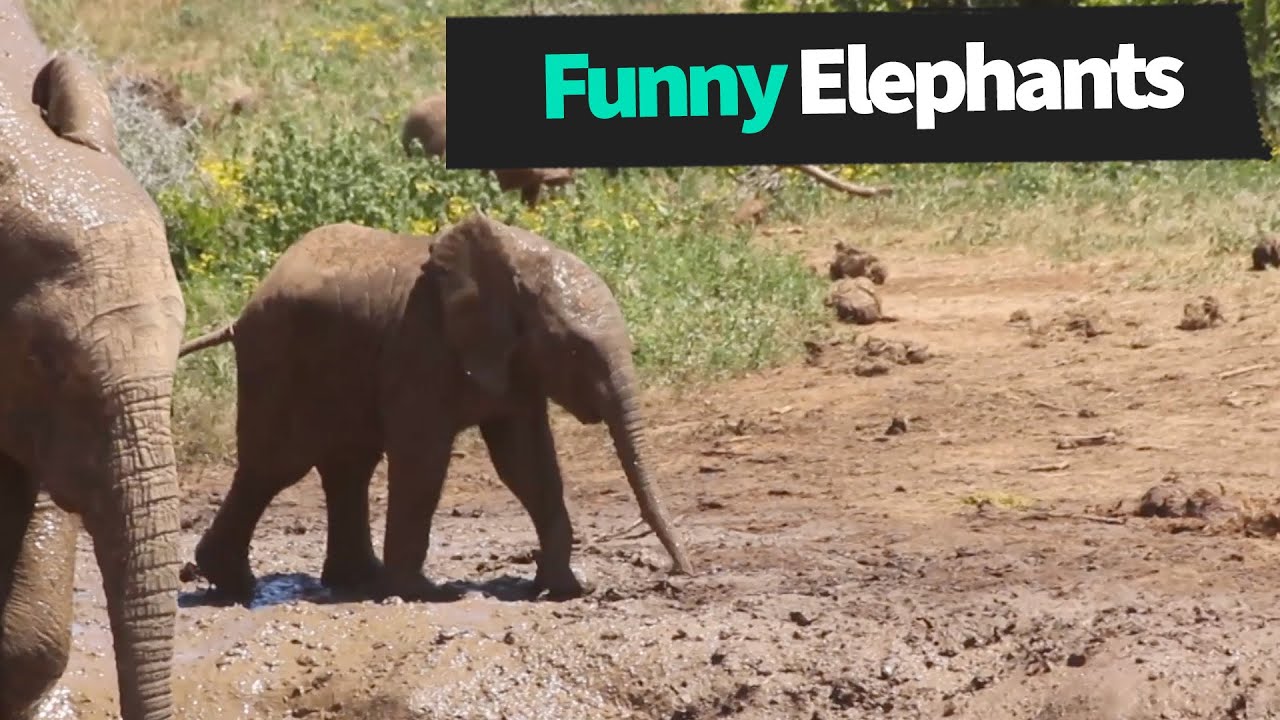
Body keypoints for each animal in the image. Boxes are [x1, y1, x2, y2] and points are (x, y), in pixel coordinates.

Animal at [177, 213, 693, 606]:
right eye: (574, 350)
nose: (681, 572)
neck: (515, 262)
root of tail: (243, 312)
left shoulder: (512, 363)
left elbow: (527, 464)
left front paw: (565, 588)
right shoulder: (420, 345)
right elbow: (424, 460)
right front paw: (429, 595)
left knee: (346, 466)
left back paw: (354, 580)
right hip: (277, 360)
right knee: (275, 466)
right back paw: (236, 586)